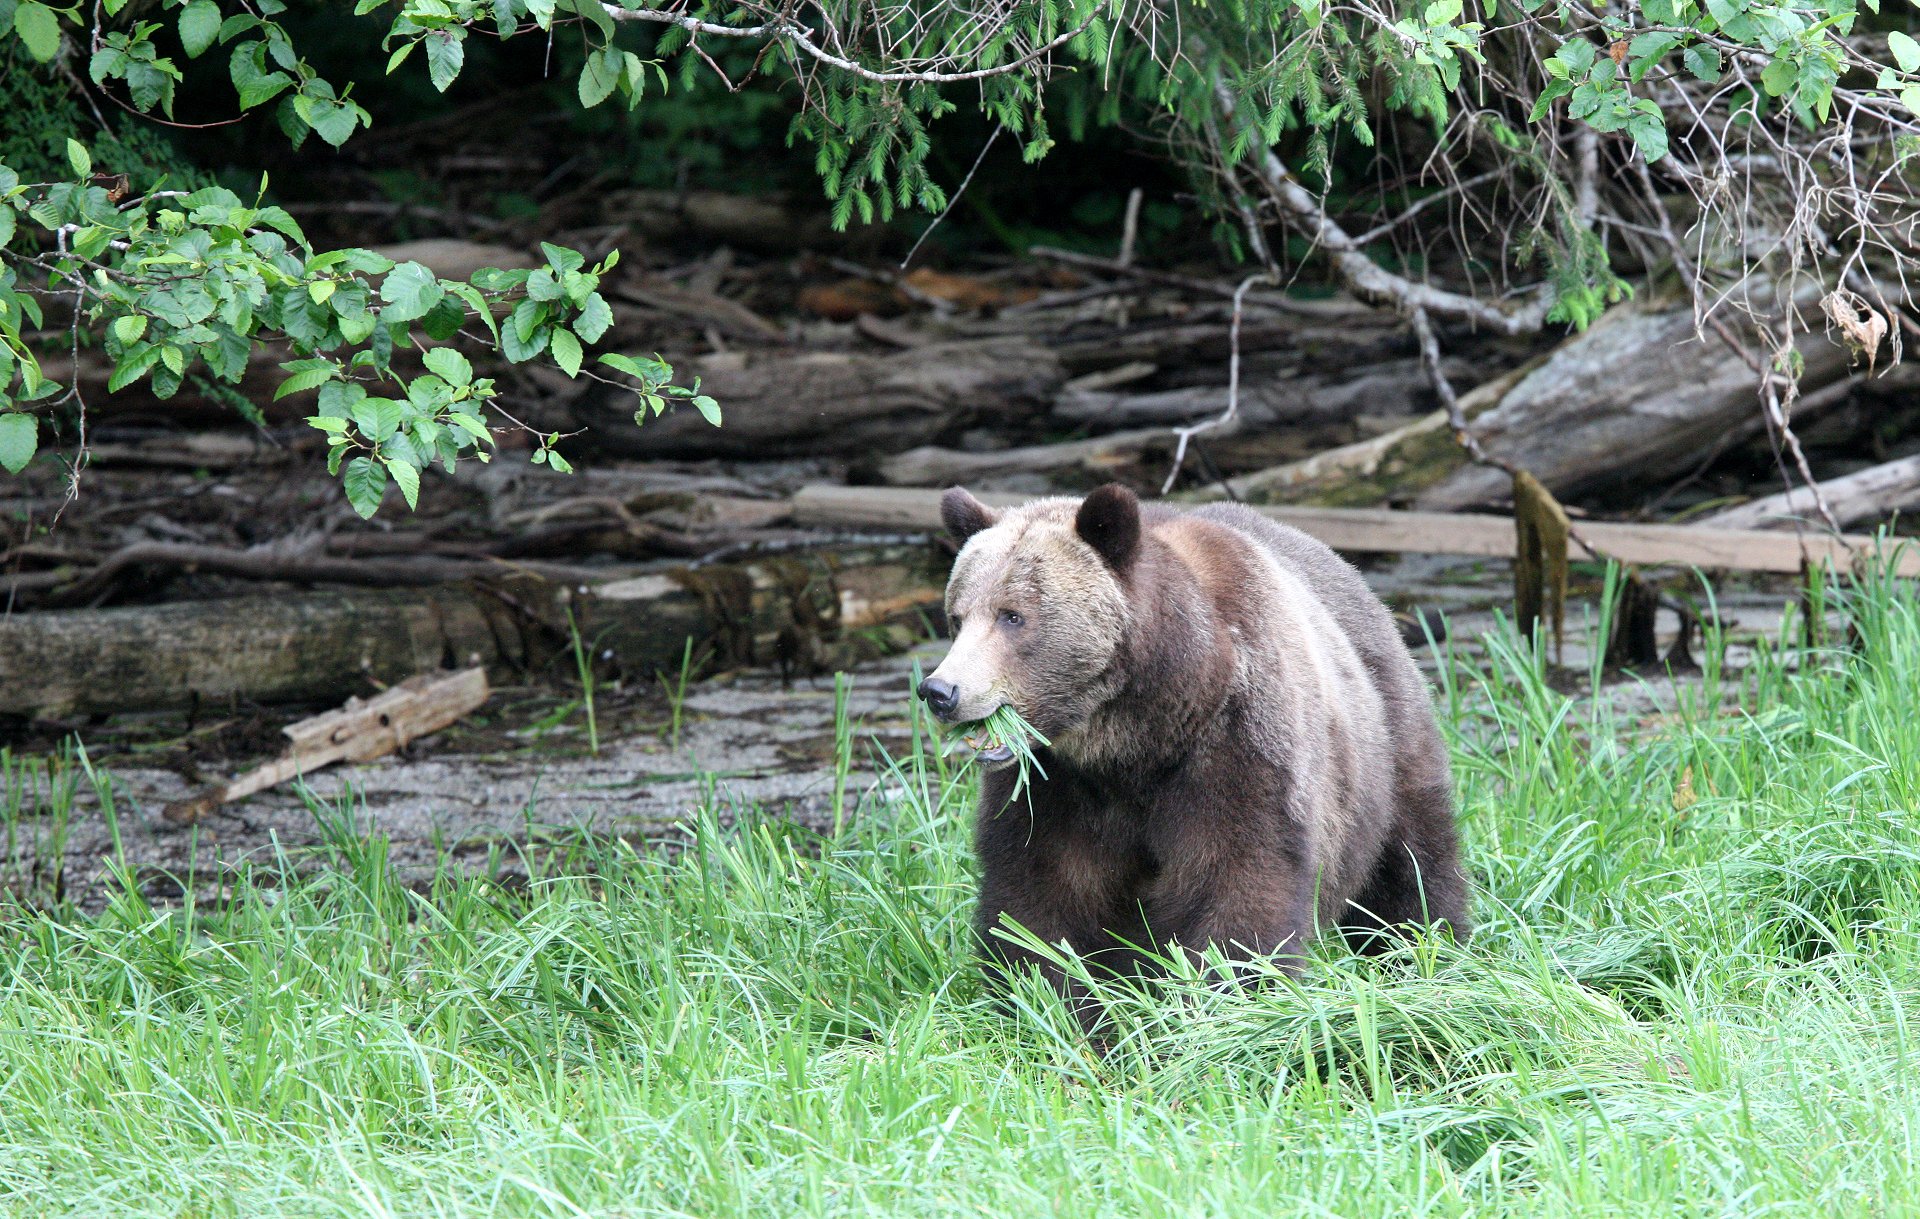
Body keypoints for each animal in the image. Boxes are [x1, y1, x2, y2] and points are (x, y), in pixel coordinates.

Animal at [917, 483, 1469, 1027]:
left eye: (1012, 616)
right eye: (957, 617)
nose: (940, 690)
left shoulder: (1237, 745)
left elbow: (1237, 879)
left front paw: (1220, 1000)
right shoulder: (1054, 787)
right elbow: (1038, 899)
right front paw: (1056, 1007)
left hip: (1384, 736)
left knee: (1413, 860)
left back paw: (1427, 951)